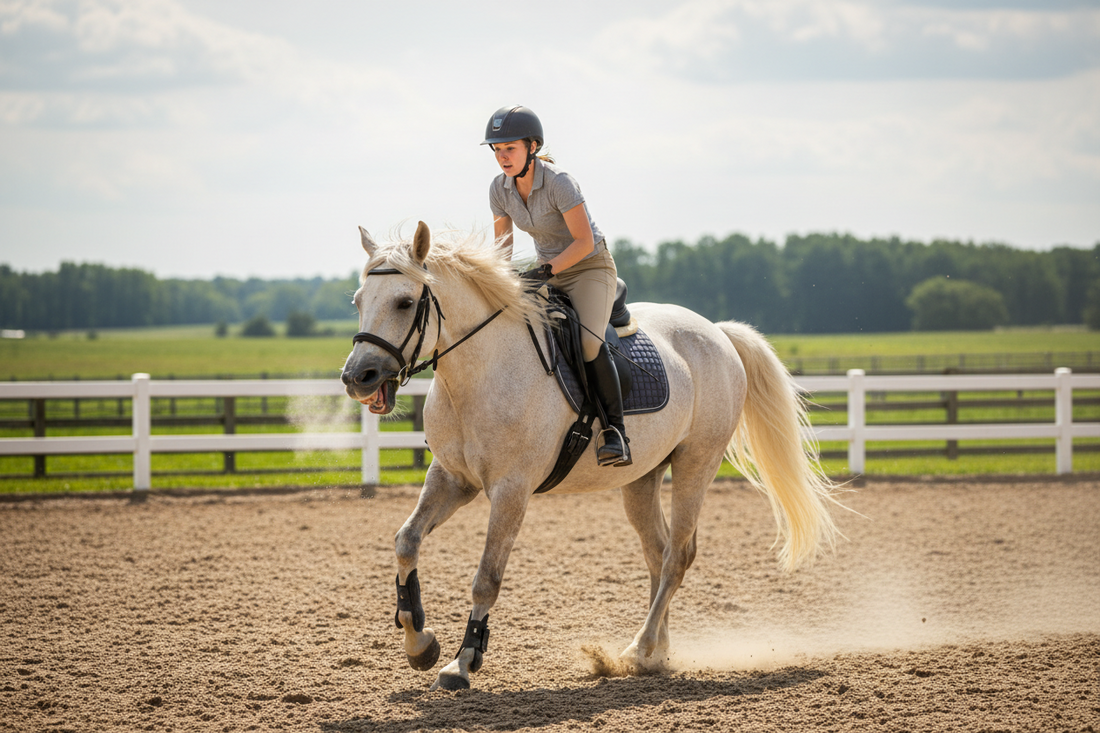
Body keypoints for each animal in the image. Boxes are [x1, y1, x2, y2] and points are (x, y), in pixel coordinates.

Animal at [341, 221, 840, 691]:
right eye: (358, 300)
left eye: (405, 302)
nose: (357, 377)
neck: (482, 370)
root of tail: (716, 332)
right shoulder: (452, 478)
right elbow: (406, 541)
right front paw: (420, 643)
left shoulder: (511, 491)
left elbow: (487, 577)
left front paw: (462, 664)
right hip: (642, 478)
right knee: (658, 554)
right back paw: (656, 651)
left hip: (697, 462)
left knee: (678, 555)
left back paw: (638, 649)